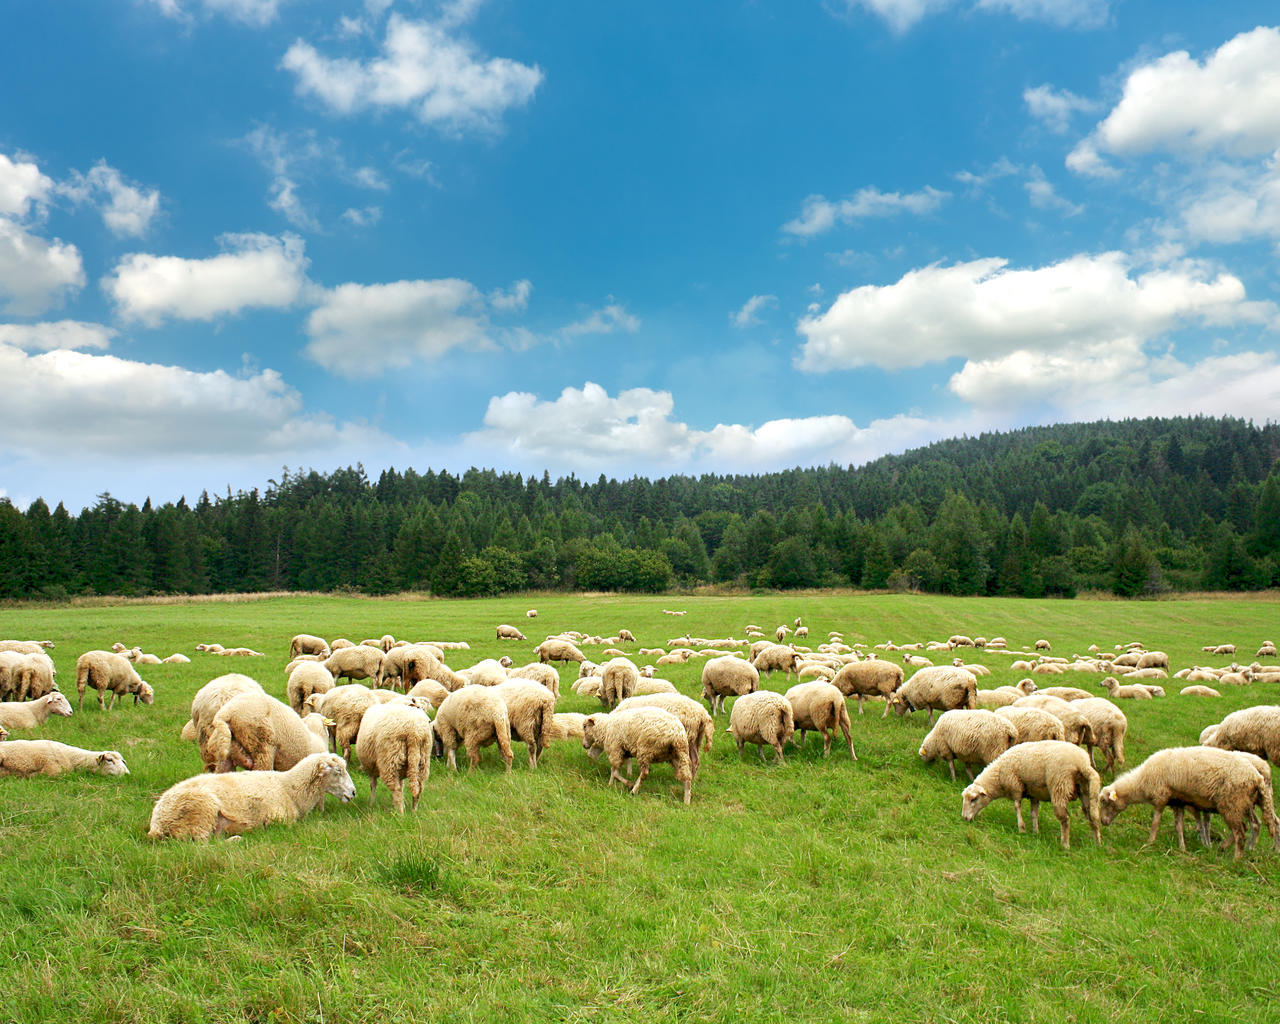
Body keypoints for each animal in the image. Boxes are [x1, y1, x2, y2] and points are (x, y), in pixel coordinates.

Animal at [147, 752, 353, 839]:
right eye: (338, 771)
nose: (353, 792)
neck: (290, 788)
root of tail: (157, 822)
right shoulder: (278, 819)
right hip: (201, 810)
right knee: (200, 842)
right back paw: (237, 838)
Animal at [962, 742, 1100, 849]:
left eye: (974, 799)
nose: (964, 818)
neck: (998, 776)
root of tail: (1082, 763)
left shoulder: (1015, 786)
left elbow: (1017, 807)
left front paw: (1021, 829)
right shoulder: (1034, 794)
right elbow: (1034, 813)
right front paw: (1035, 832)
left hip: (1059, 786)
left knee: (1065, 819)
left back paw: (1065, 845)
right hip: (1085, 789)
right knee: (1091, 815)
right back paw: (1096, 843)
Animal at [1100, 747, 1280, 860]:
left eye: (1104, 802)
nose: (1103, 822)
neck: (1142, 781)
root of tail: (1256, 776)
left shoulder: (1161, 797)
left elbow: (1155, 822)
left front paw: (1149, 842)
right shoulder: (1177, 802)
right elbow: (1179, 826)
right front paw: (1182, 847)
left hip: (1232, 804)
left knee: (1241, 832)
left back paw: (1235, 858)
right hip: (1243, 803)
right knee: (1253, 825)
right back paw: (1231, 848)